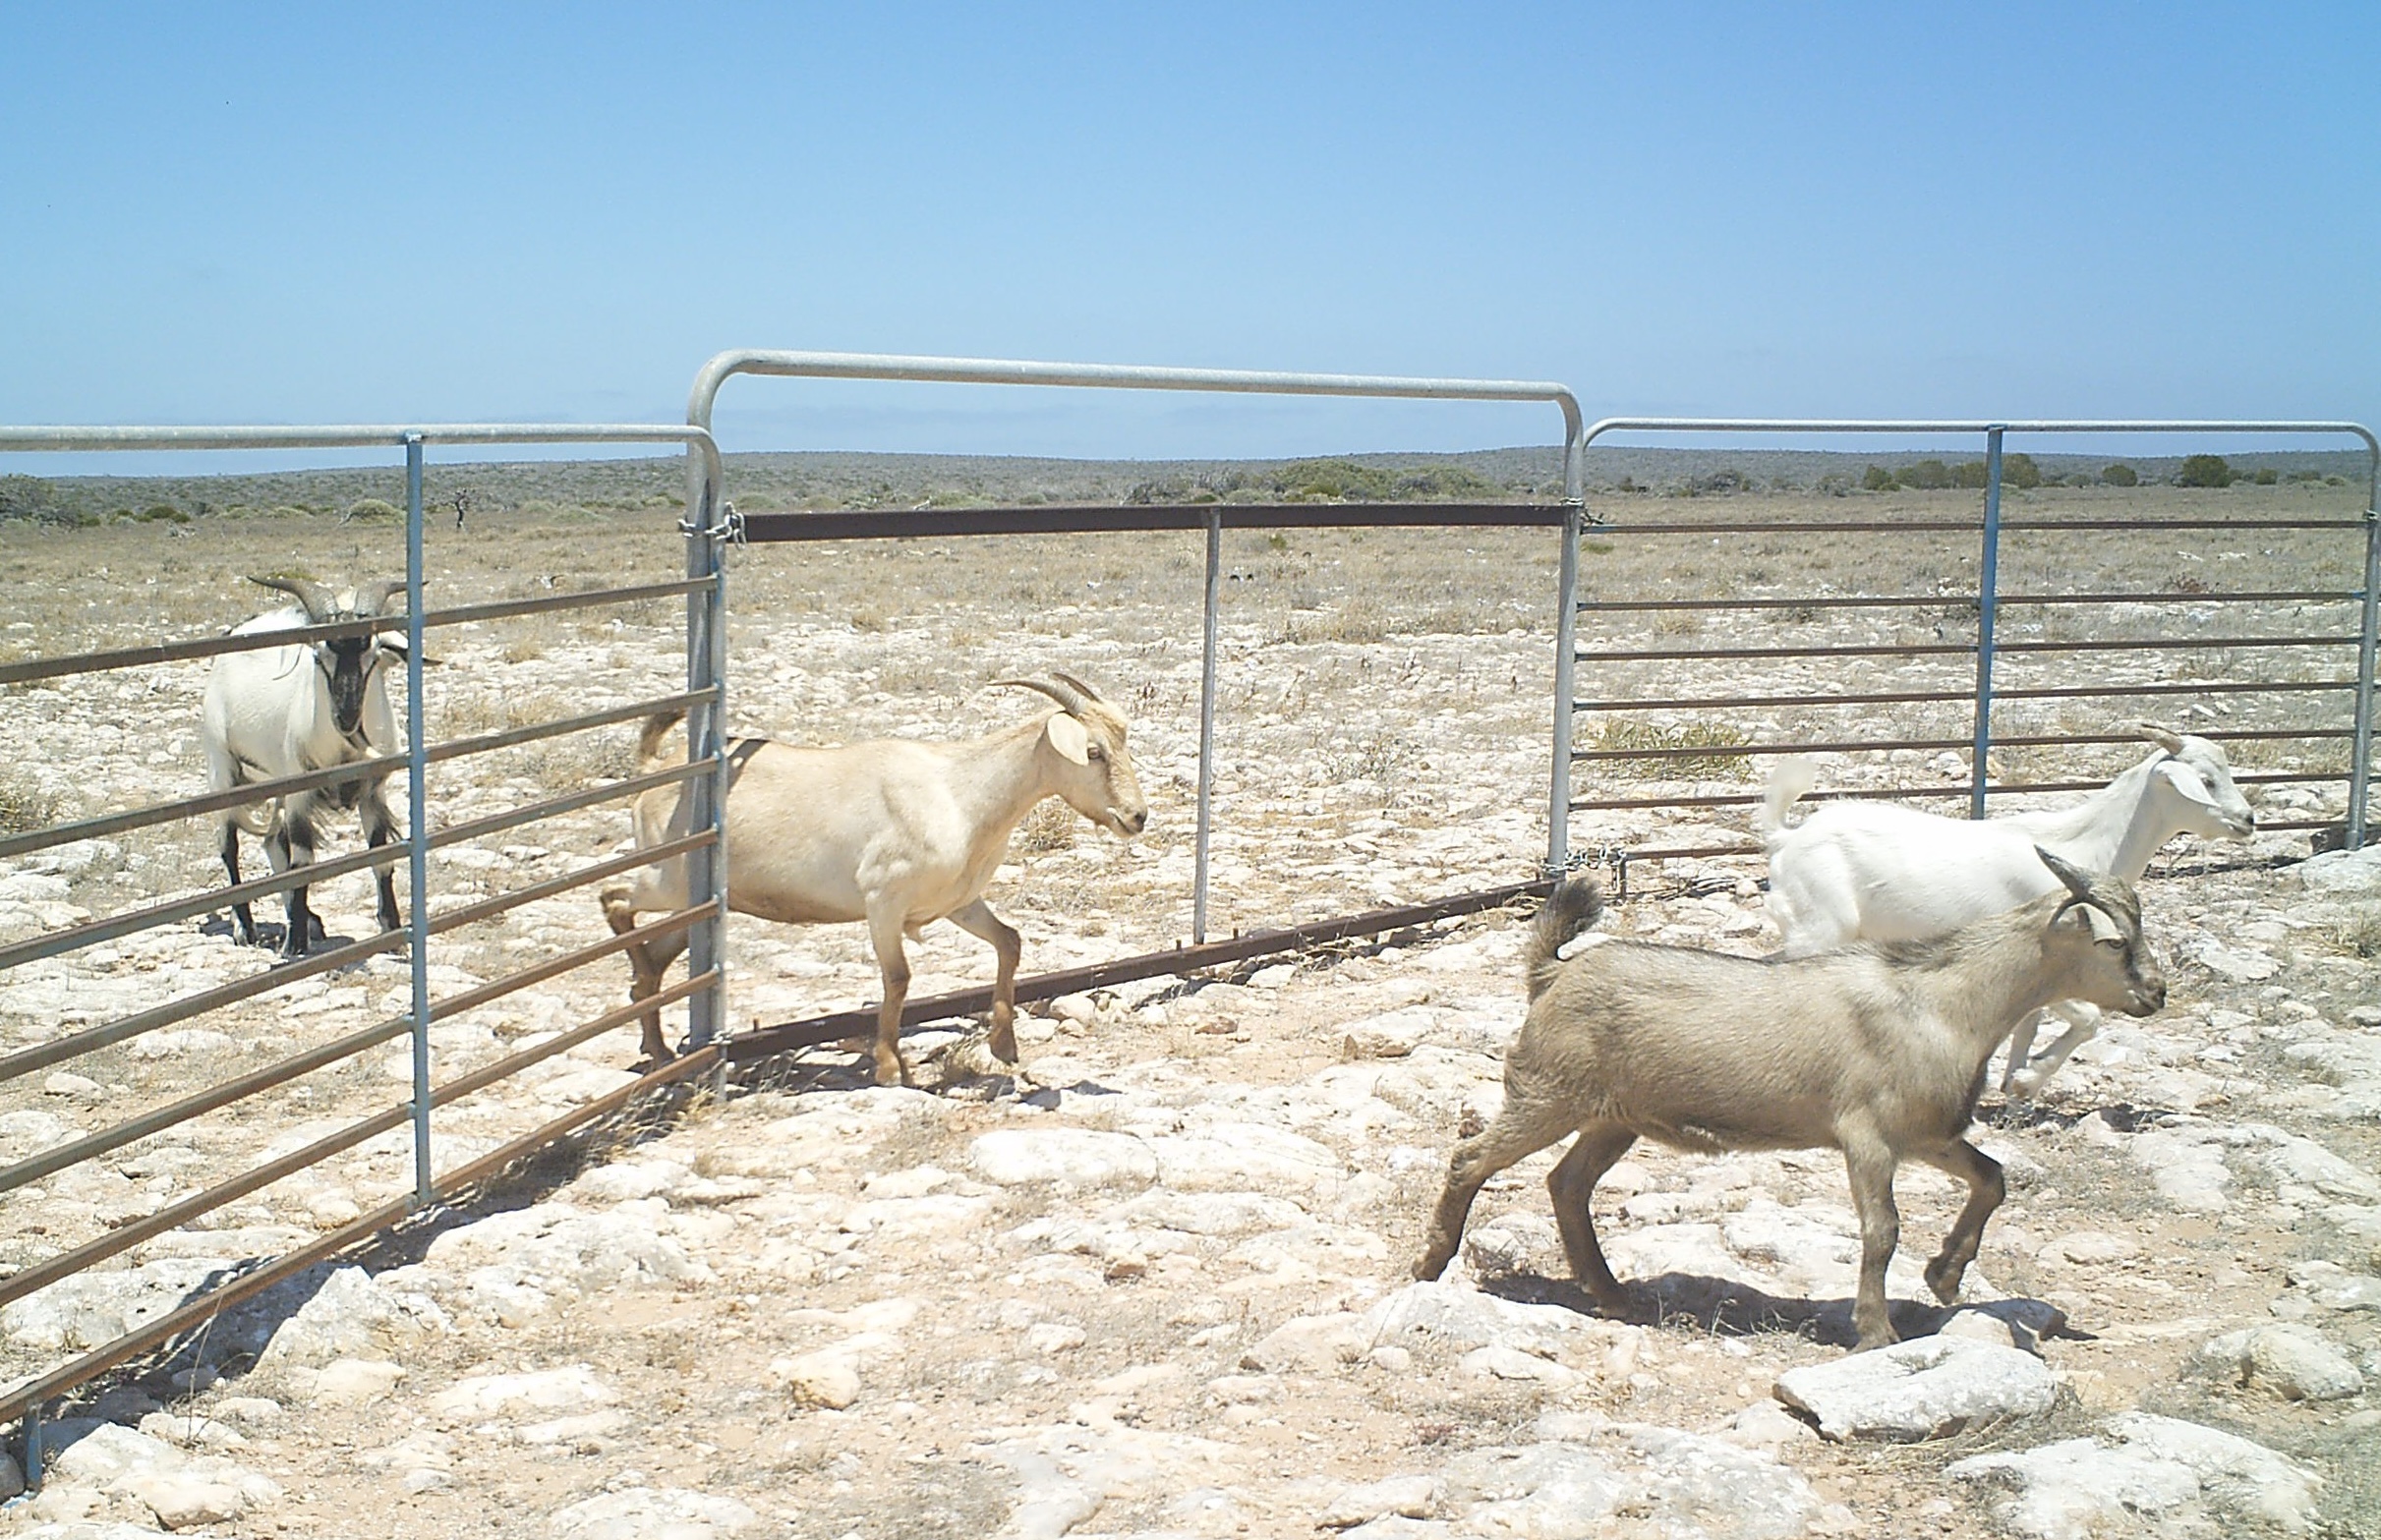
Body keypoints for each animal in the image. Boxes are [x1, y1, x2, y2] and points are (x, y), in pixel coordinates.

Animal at [206, 578, 412, 961]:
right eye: (319, 657)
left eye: (374, 656)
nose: (346, 716)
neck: (343, 754)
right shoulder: (300, 797)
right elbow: (302, 863)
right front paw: (295, 945)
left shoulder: (372, 795)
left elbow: (381, 859)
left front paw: (393, 933)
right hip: (222, 769)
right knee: (229, 845)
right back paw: (246, 927)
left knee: (272, 843)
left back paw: (307, 919)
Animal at [600, 675, 1147, 1085]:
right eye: (1093, 752)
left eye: (1123, 743)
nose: (1136, 816)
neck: (958, 792)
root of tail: (655, 769)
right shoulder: (883, 901)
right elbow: (899, 977)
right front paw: (888, 1066)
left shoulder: (957, 902)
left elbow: (1009, 942)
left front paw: (1004, 1045)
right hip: (667, 880)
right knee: (615, 898)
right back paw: (656, 1036)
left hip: (692, 903)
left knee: (653, 950)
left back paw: (656, 1039)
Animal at [1419, 847, 2171, 1351]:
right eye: (2116, 941)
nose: (2156, 993)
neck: (1940, 1003)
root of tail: (1552, 974)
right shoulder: (1867, 1136)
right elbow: (1882, 1230)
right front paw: (1876, 1332)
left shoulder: (1927, 1133)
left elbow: (1993, 1177)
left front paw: (1947, 1276)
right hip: (1549, 1094)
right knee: (1470, 1158)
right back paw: (1432, 1264)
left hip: (1612, 1117)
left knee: (1567, 1183)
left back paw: (1610, 1293)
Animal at [1771, 723, 2247, 1095]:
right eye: (2205, 780)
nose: (2248, 820)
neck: (2086, 845)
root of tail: (1788, 836)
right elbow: (2088, 1018)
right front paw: (2025, 1080)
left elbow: (2029, 1025)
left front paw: (2013, 1085)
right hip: (1820, 930)